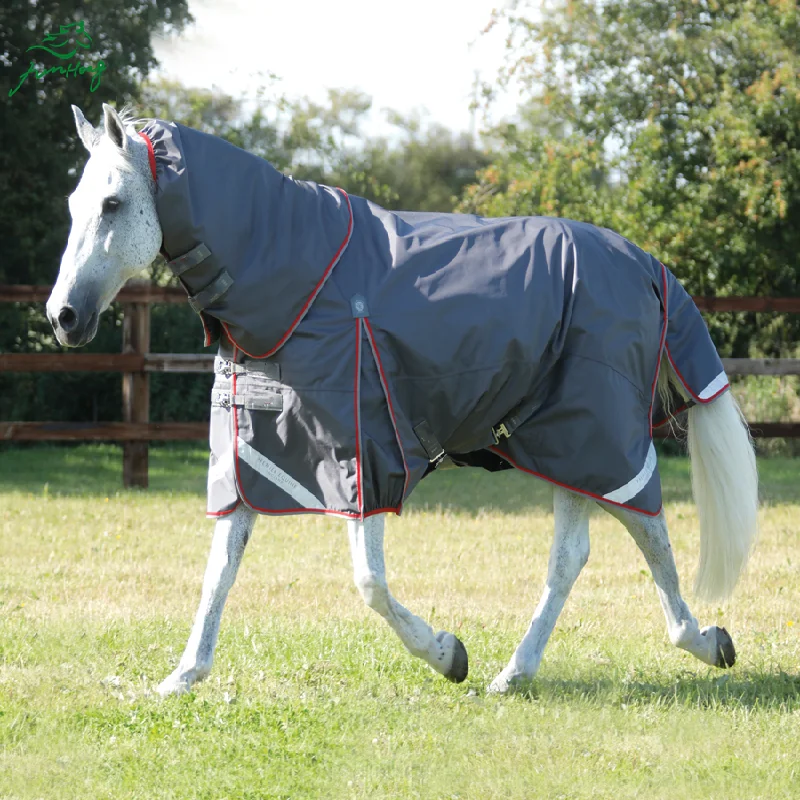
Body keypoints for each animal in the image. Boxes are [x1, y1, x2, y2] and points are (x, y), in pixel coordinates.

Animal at [47, 104, 758, 697]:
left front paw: (447, 653)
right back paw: (516, 673)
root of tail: (641, 262)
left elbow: (370, 583)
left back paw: (704, 641)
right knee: (572, 557)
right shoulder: (256, 456)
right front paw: (183, 676)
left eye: (113, 203)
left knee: (649, 533)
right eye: (75, 204)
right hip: (560, 444)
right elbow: (220, 568)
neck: (302, 282)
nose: (63, 317)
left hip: (599, 439)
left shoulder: (362, 456)